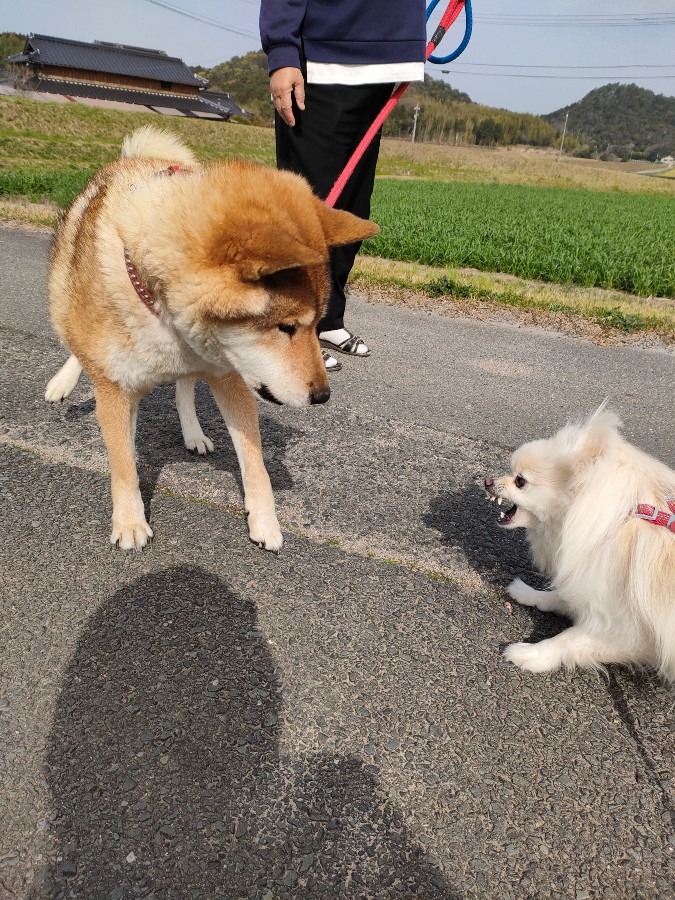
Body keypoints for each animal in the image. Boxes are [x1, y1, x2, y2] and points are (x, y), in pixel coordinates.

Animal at [45, 126, 378, 548]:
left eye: (318, 324)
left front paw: (265, 520)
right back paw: (64, 383)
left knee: (183, 389)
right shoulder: (114, 388)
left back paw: (193, 432)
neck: (159, 300)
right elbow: (122, 463)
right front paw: (130, 522)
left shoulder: (230, 376)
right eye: (285, 327)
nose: (323, 396)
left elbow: (255, 462)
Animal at [486, 404, 675, 680]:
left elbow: (569, 638)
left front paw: (532, 654)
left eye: (520, 481)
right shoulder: (587, 582)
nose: (487, 481)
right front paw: (530, 594)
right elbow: (562, 596)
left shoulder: (629, 631)